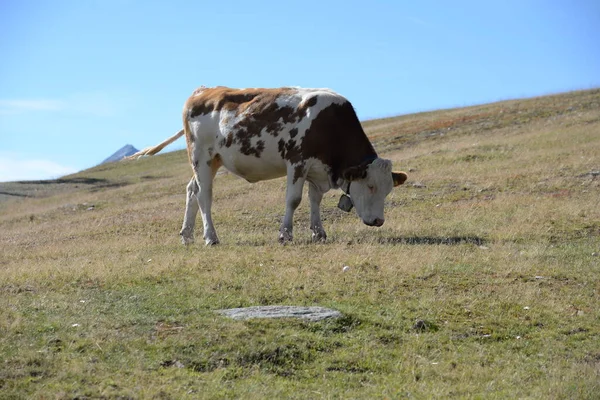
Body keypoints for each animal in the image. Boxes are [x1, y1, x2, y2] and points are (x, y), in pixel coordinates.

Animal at [127, 86, 408, 245]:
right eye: (370, 186)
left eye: (387, 190)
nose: (378, 221)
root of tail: (203, 90)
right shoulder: (297, 161)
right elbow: (294, 200)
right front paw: (285, 235)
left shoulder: (317, 170)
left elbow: (314, 200)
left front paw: (319, 234)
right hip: (200, 156)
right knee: (204, 196)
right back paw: (210, 237)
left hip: (211, 161)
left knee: (191, 190)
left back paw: (187, 235)